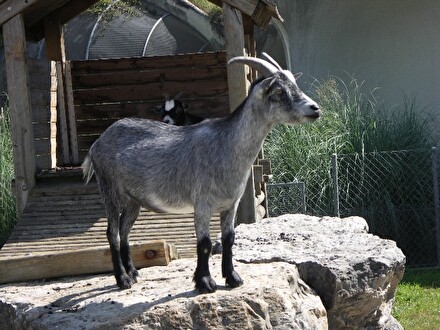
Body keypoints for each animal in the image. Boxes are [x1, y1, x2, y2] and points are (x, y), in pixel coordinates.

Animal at [81, 52, 320, 292]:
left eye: (294, 84)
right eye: (279, 91)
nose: (315, 109)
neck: (227, 145)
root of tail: (97, 144)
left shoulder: (230, 204)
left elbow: (229, 239)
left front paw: (232, 278)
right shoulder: (203, 204)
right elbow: (204, 243)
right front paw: (205, 282)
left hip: (133, 200)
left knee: (124, 231)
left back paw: (133, 272)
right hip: (109, 189)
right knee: (112, 233)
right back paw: (123, 279)